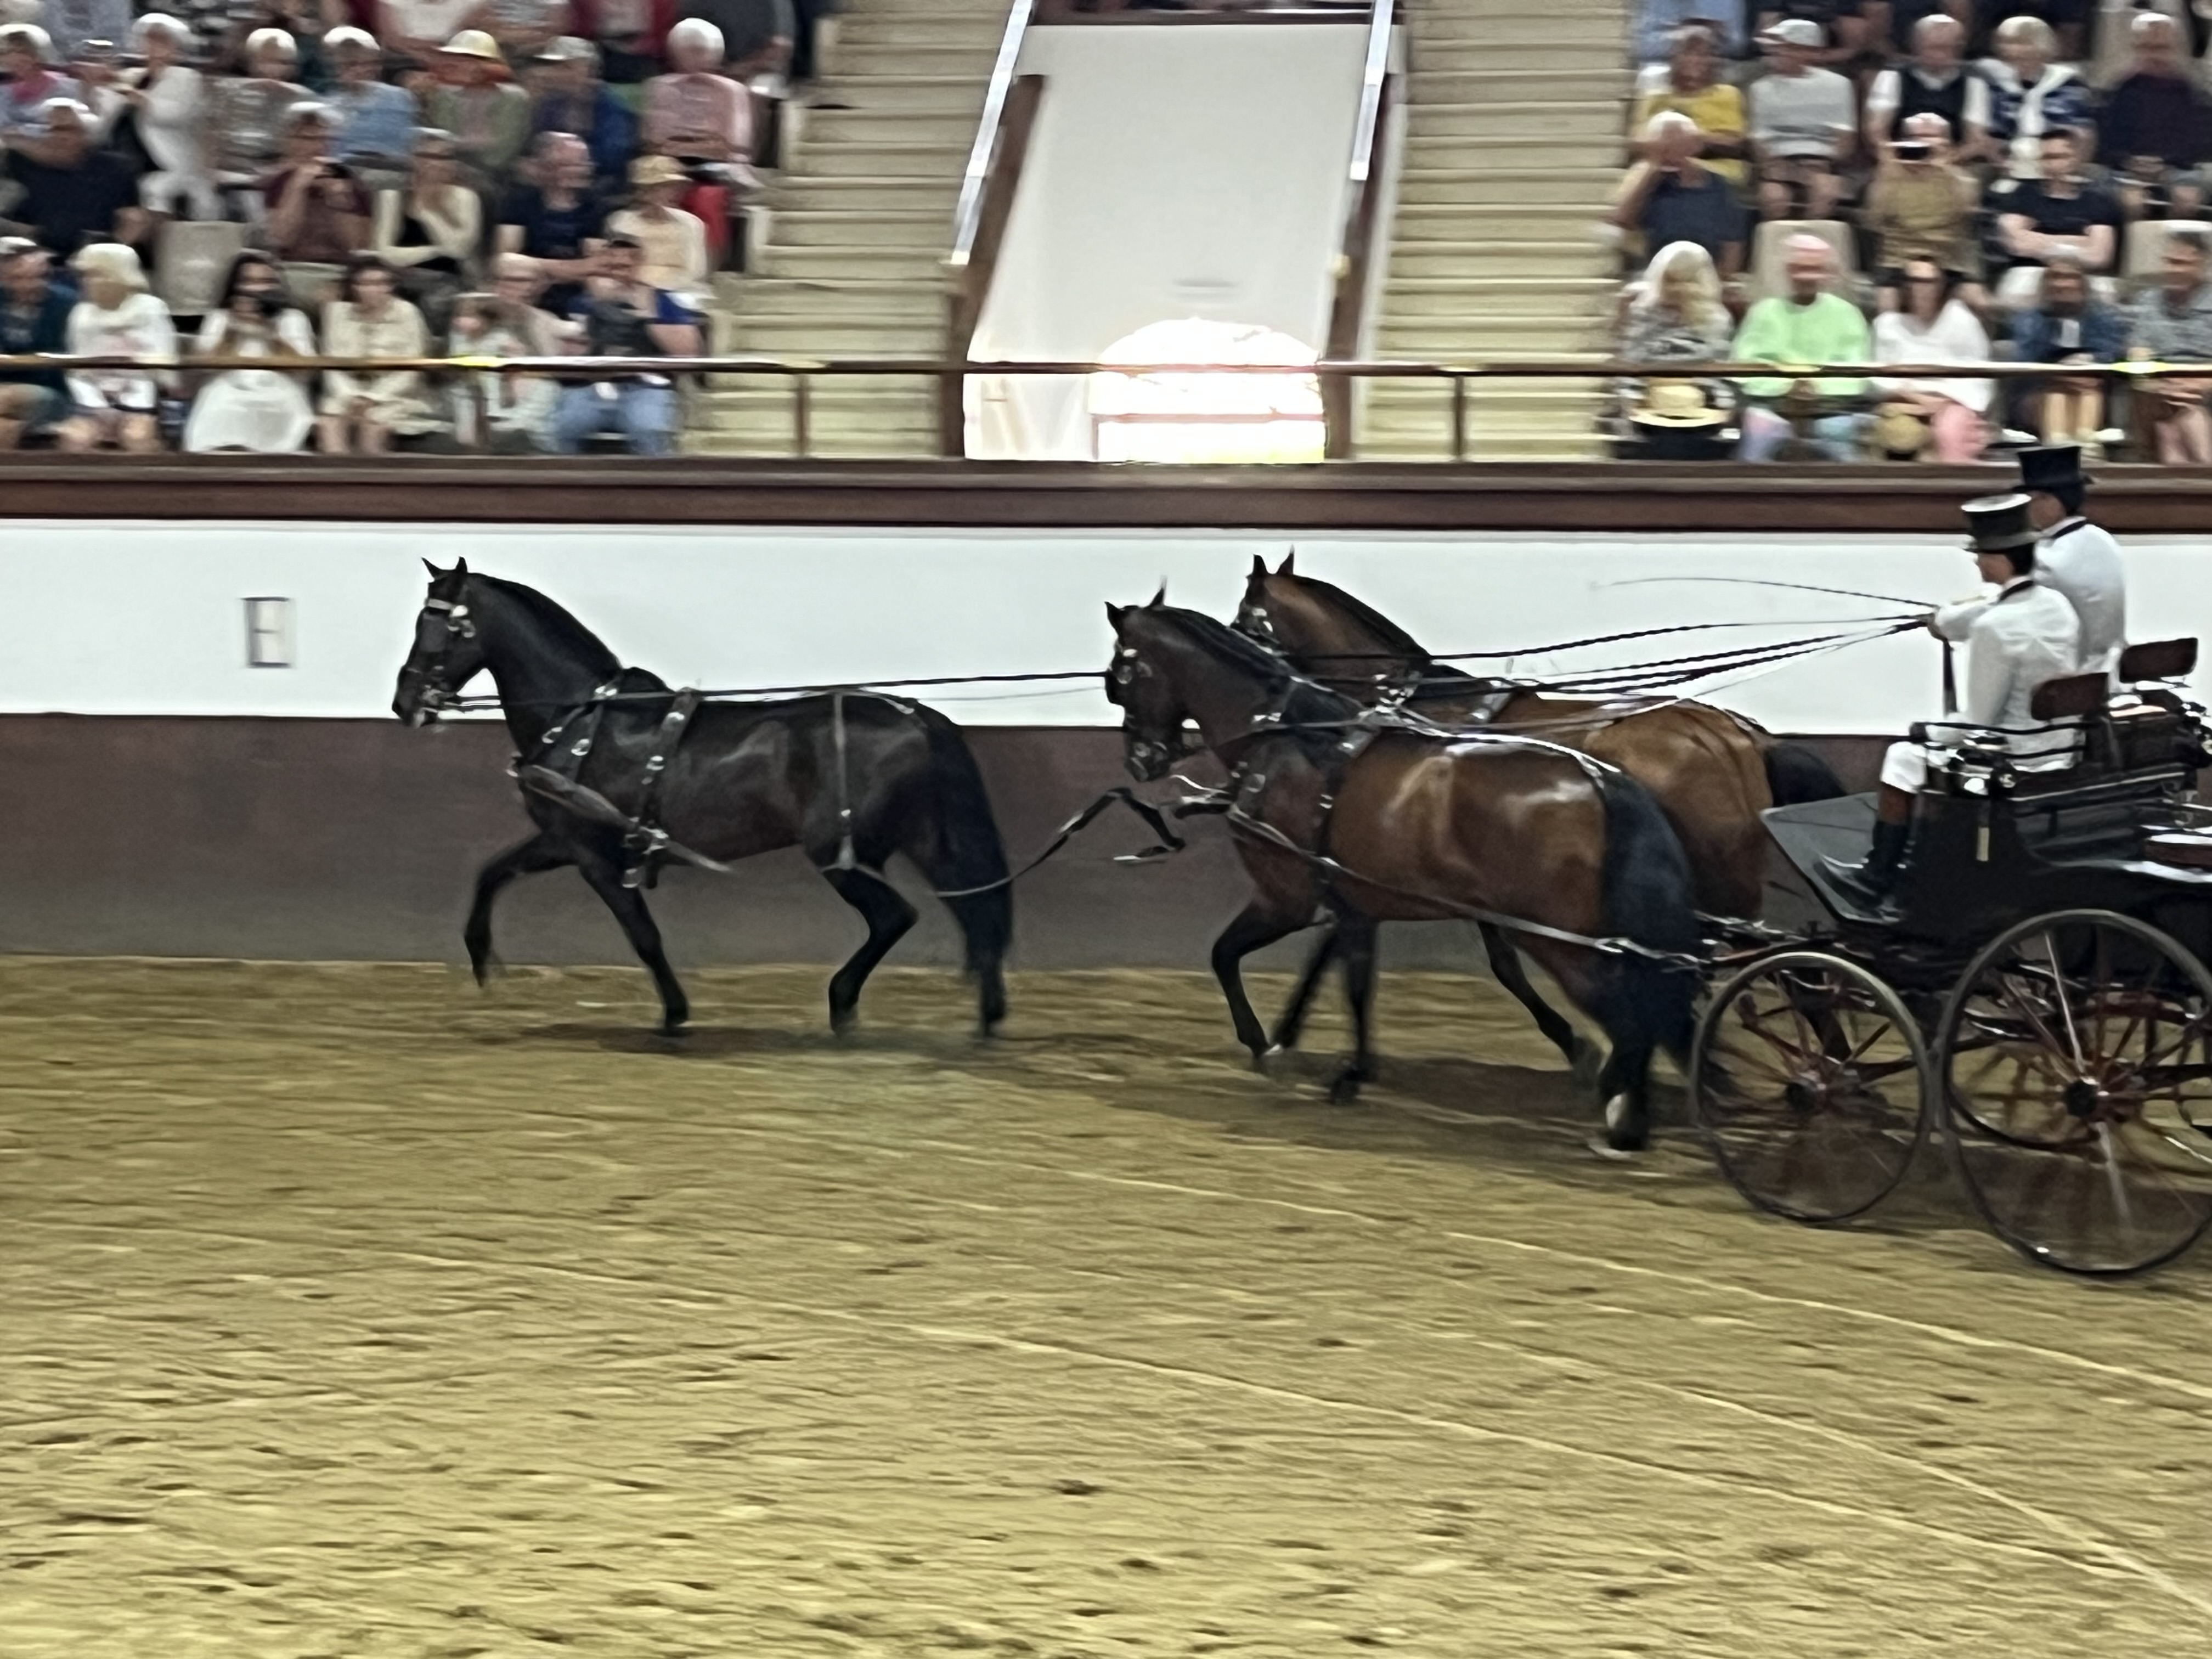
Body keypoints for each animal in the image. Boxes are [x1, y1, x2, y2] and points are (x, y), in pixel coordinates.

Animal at [392, 560, 1012, 1037]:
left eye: (437, 624)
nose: (405, 701)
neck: (582, 720)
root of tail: (917, 714)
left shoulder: (593, 855)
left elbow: (643, 936)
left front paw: (674, 1014)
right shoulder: (564, 841)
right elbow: (494, 872)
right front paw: (481, 959)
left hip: (843, 855)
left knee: (896, 916)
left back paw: (844, 1005)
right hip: (922, 839)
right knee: (973, 906)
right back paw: (986, 1017)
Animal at [1105, 593, 1700, 1154]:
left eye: (1120, 678)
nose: (1141, 760)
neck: (1289, 741)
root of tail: (1601, 779)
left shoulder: (1285, 899)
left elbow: (1225, 955)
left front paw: (1266, 1046)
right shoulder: (1353, 908)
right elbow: (1356, 985)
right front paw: (1346, 1067)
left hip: (1563, 943)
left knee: (1634, 1015)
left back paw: (1624, 1117)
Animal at [1235, 554, 1844, 1068]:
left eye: (1244, 621)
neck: (1419, 707)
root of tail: (1740, 737)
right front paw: (1287, 1030)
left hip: (1725, 889)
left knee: (1793, 970)